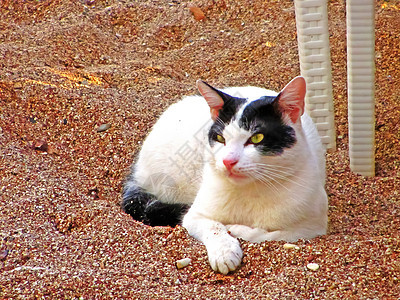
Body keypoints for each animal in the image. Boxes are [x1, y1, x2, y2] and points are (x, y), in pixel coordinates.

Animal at [122, 77, 328, 274]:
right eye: (221, 138)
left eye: (257, 138)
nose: (228, 161)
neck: (251, 190)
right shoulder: (194, 216)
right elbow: (214, 226)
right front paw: (225, 252)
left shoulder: (313, 227)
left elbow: (271, 234)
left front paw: (236, 229)